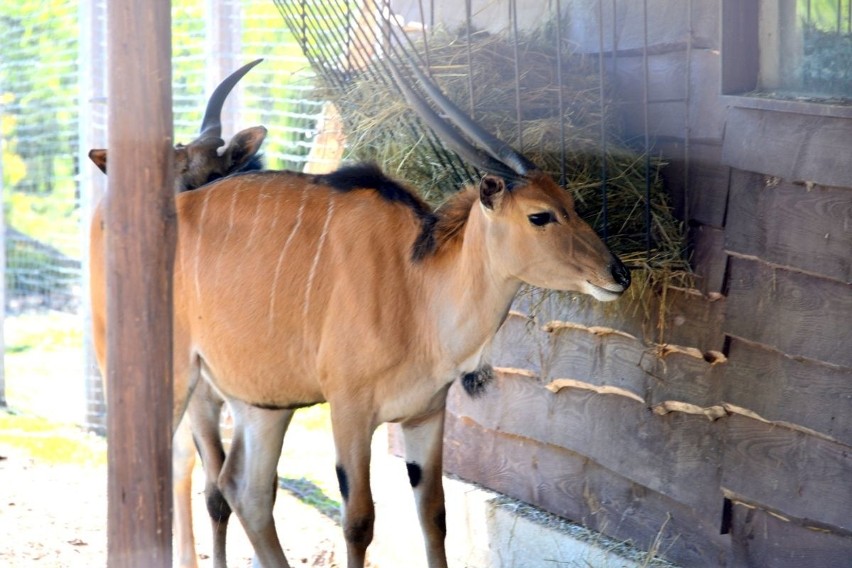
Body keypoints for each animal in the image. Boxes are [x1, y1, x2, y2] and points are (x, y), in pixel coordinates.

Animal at [165, 67, 632, 568]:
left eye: (572, 203)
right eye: (540, 215)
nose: (618, 274)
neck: (416, 289)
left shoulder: (425, 415)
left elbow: (434, 516)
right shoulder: (349, 413)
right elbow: (358, 522)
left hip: (263, 404)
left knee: (243, 489)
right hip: (188, 387)